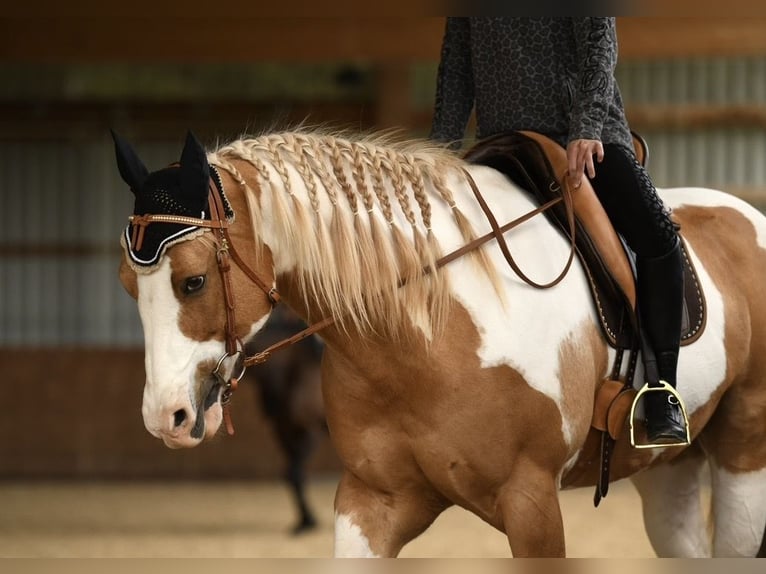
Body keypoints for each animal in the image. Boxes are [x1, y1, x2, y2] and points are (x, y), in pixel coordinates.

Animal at [114, 128, 766, 557]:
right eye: (126, 284)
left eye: (193, 280)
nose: (165, 417)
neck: (426, 335)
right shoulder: (371, 502)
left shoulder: (532, 504)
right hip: (668, 469)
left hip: (742, 459)